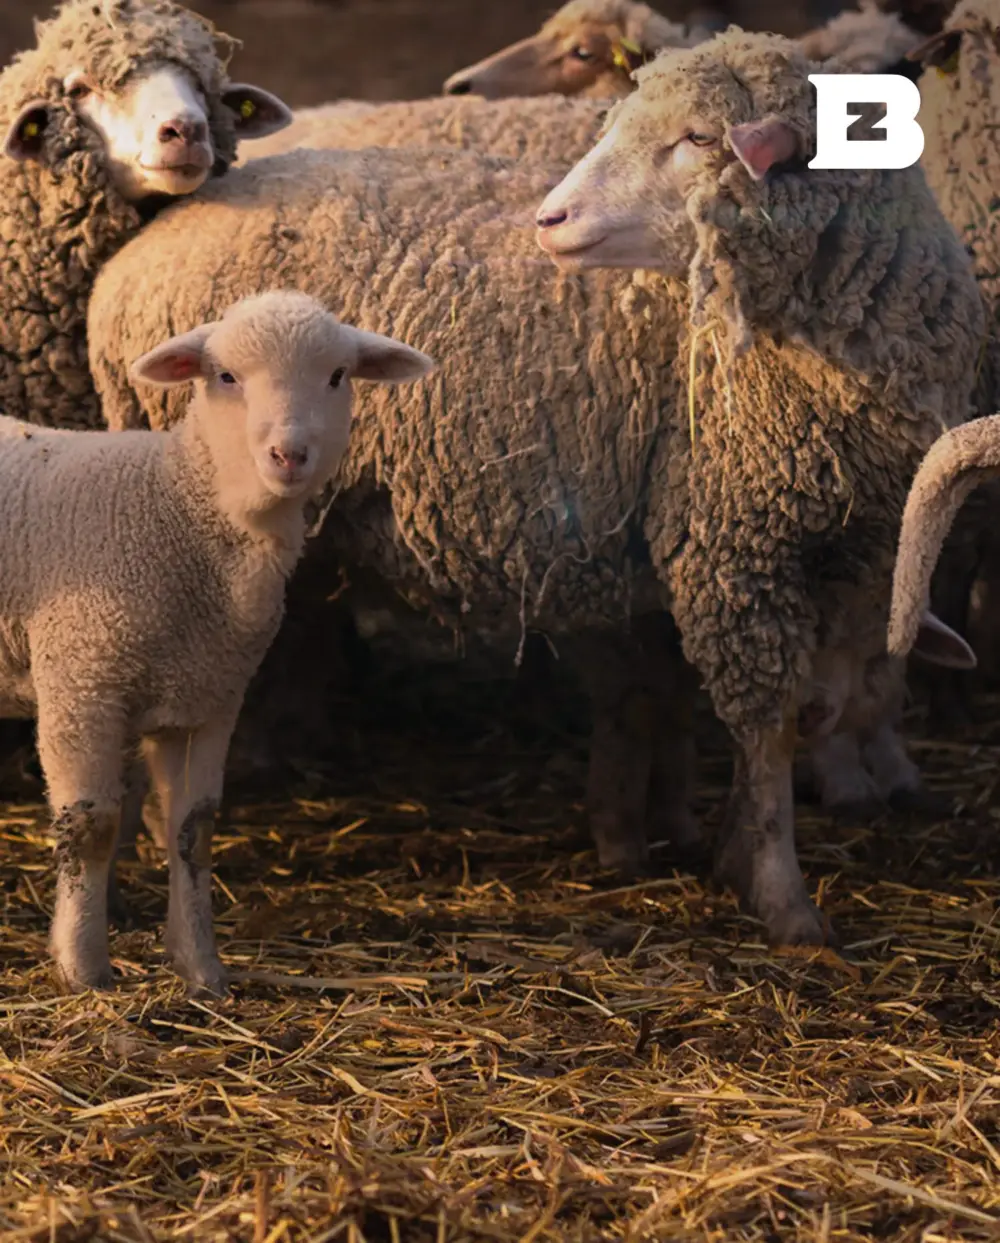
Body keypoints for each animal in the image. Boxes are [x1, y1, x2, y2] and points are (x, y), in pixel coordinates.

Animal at [0, 290, 432, 995]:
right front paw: (84, 968)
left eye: (338, 376)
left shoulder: (207, 699)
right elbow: (91, 828)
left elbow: (193, 831)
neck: (177, 508)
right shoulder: (80, 682)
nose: (289, 454)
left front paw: (201, 969)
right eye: (226, 376)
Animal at [535, 28, 984, 942]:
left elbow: (849, 689)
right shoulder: (731, 546)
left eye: (699, 138)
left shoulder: (869, 546)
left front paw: (735, 850)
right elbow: (767, 733)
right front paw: (782, 898)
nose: (547, 219)